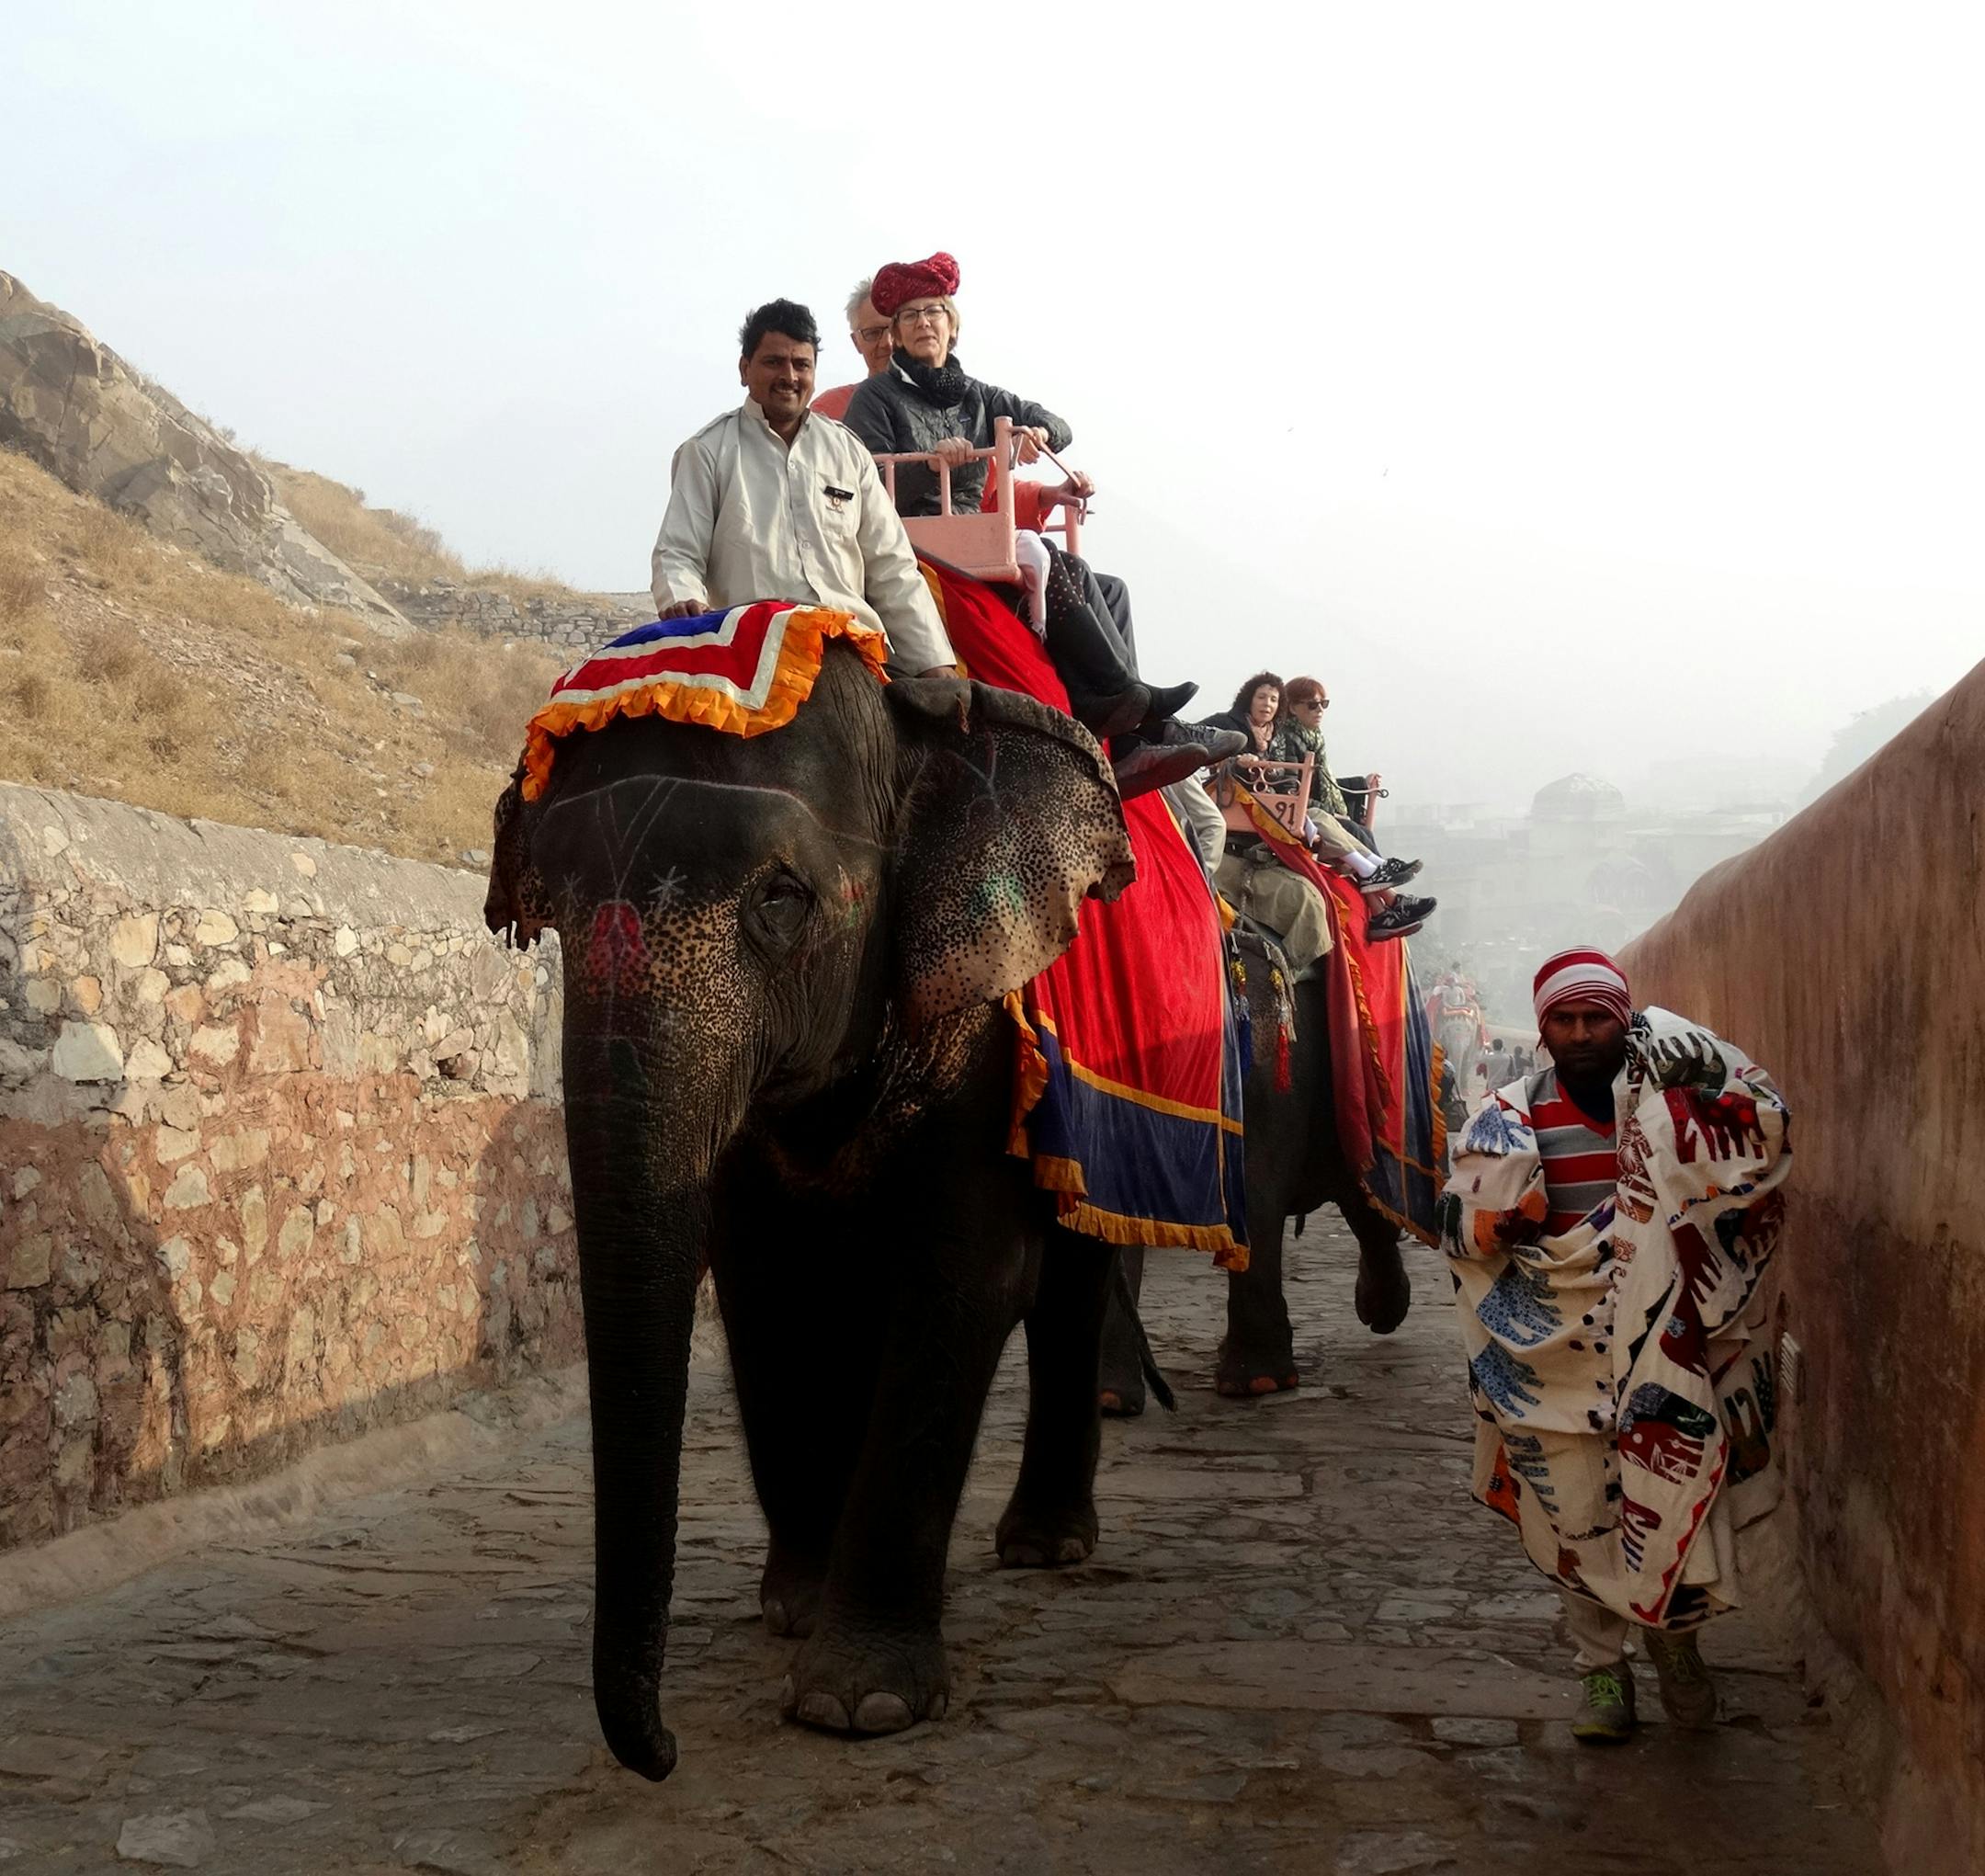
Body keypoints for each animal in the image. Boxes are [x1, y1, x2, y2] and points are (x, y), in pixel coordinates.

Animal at [484, 643, 1141, 1780]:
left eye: (782, 899)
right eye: (549, 909)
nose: (662, 1752)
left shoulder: (981, 1026)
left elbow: (967, 1279)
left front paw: (858, 1702)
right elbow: (759, 1284)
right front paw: (794, 1607)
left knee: (1072, 1287)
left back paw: (1045, 1544)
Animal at [1098, 926, 1411, 1412]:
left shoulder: (1269, 1066)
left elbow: (1257, 1193)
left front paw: (1257, 1385)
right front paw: (1110, 1400)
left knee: (1366, 1204)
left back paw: (1380, 1314)